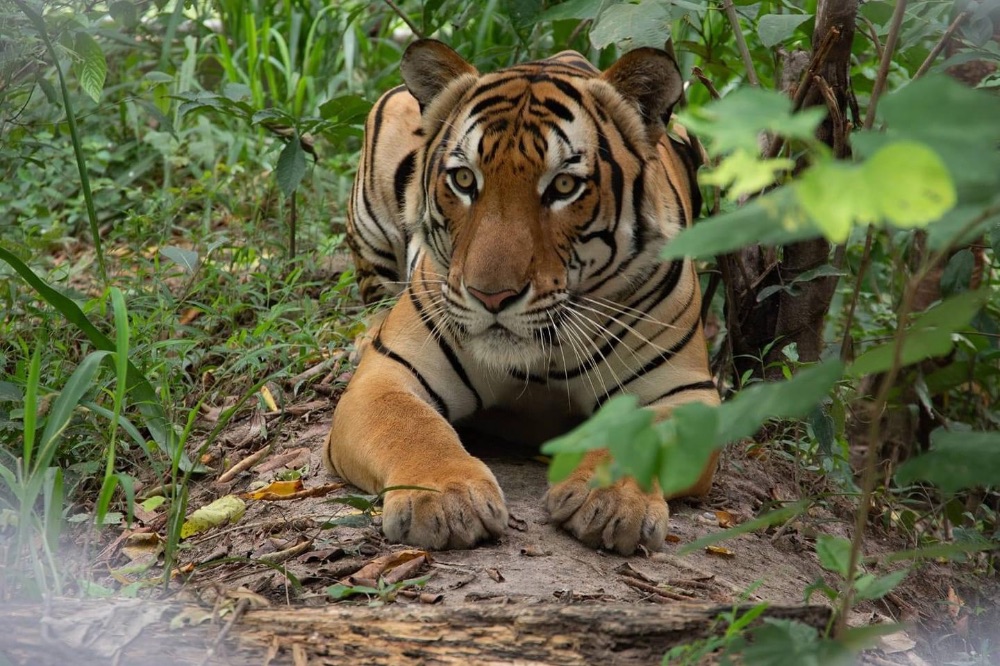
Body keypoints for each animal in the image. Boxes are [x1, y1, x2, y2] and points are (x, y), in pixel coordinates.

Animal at [324, 39, 724, 552]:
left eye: (564, 186)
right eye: (464, 180)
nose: (491, 297)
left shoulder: (683, 392)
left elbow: (641, 435)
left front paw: (611, 502)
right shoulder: (390, 372)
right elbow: (411, 427)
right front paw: (447, 499)